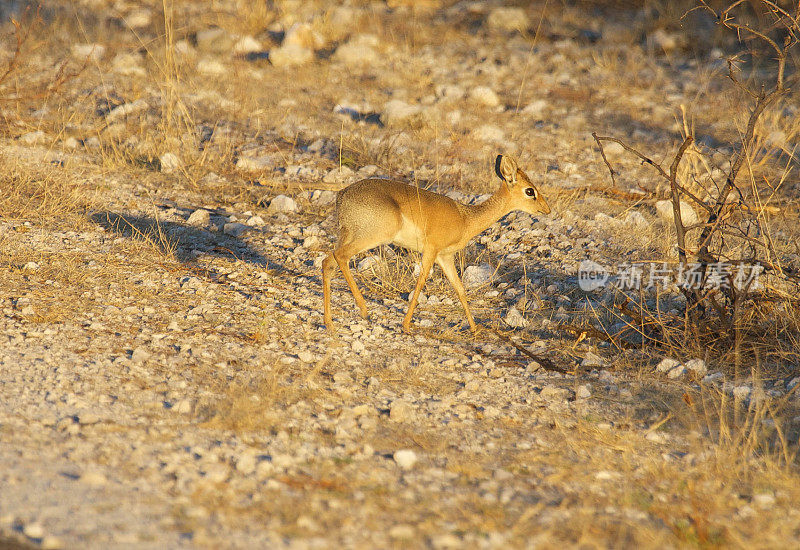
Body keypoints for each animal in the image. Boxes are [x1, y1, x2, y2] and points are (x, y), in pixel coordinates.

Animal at [320, 155, 552, 336]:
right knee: (340, 257)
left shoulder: (445, 257)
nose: (547, 209)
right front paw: (406, 325)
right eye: (530, 191)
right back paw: (363, 309)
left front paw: (474, 328)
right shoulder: (431, 251)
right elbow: (421, 282)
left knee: (327, 262)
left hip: (349, 236)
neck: (466, 218)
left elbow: (460, 289)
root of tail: (342, 195)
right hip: (372, 237)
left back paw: (329, 323)